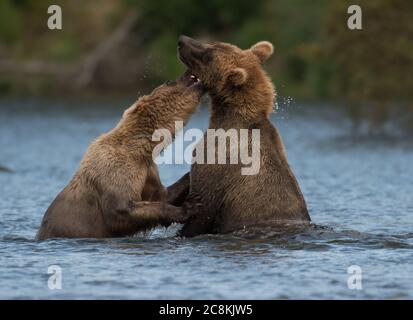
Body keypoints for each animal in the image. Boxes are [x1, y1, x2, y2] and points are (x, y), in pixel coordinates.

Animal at [36, 70, 203, 240]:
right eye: (169, 82)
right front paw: (189, 207)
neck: (139, 150)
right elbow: (123, 210)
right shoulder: (115, 170)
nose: (188, 72)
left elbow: (160, 195)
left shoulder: (146, 170)